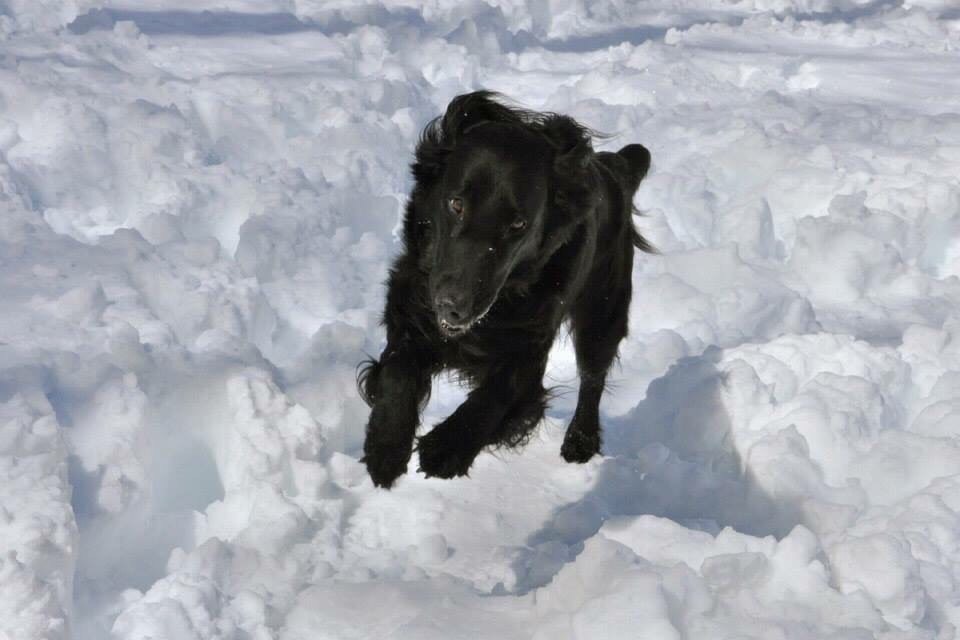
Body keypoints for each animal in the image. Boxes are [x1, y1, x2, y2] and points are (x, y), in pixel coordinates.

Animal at [358, 91, 652, 490]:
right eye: (456, 204)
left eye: (518, 224)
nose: (454, 306)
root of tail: (614, 167)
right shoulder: (410, 305)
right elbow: (396, 370)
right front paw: (385, 446)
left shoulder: (530, 346)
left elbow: (500, 391)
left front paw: (446, 447)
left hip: (603, 307)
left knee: (593, 377)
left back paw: (581, 441)